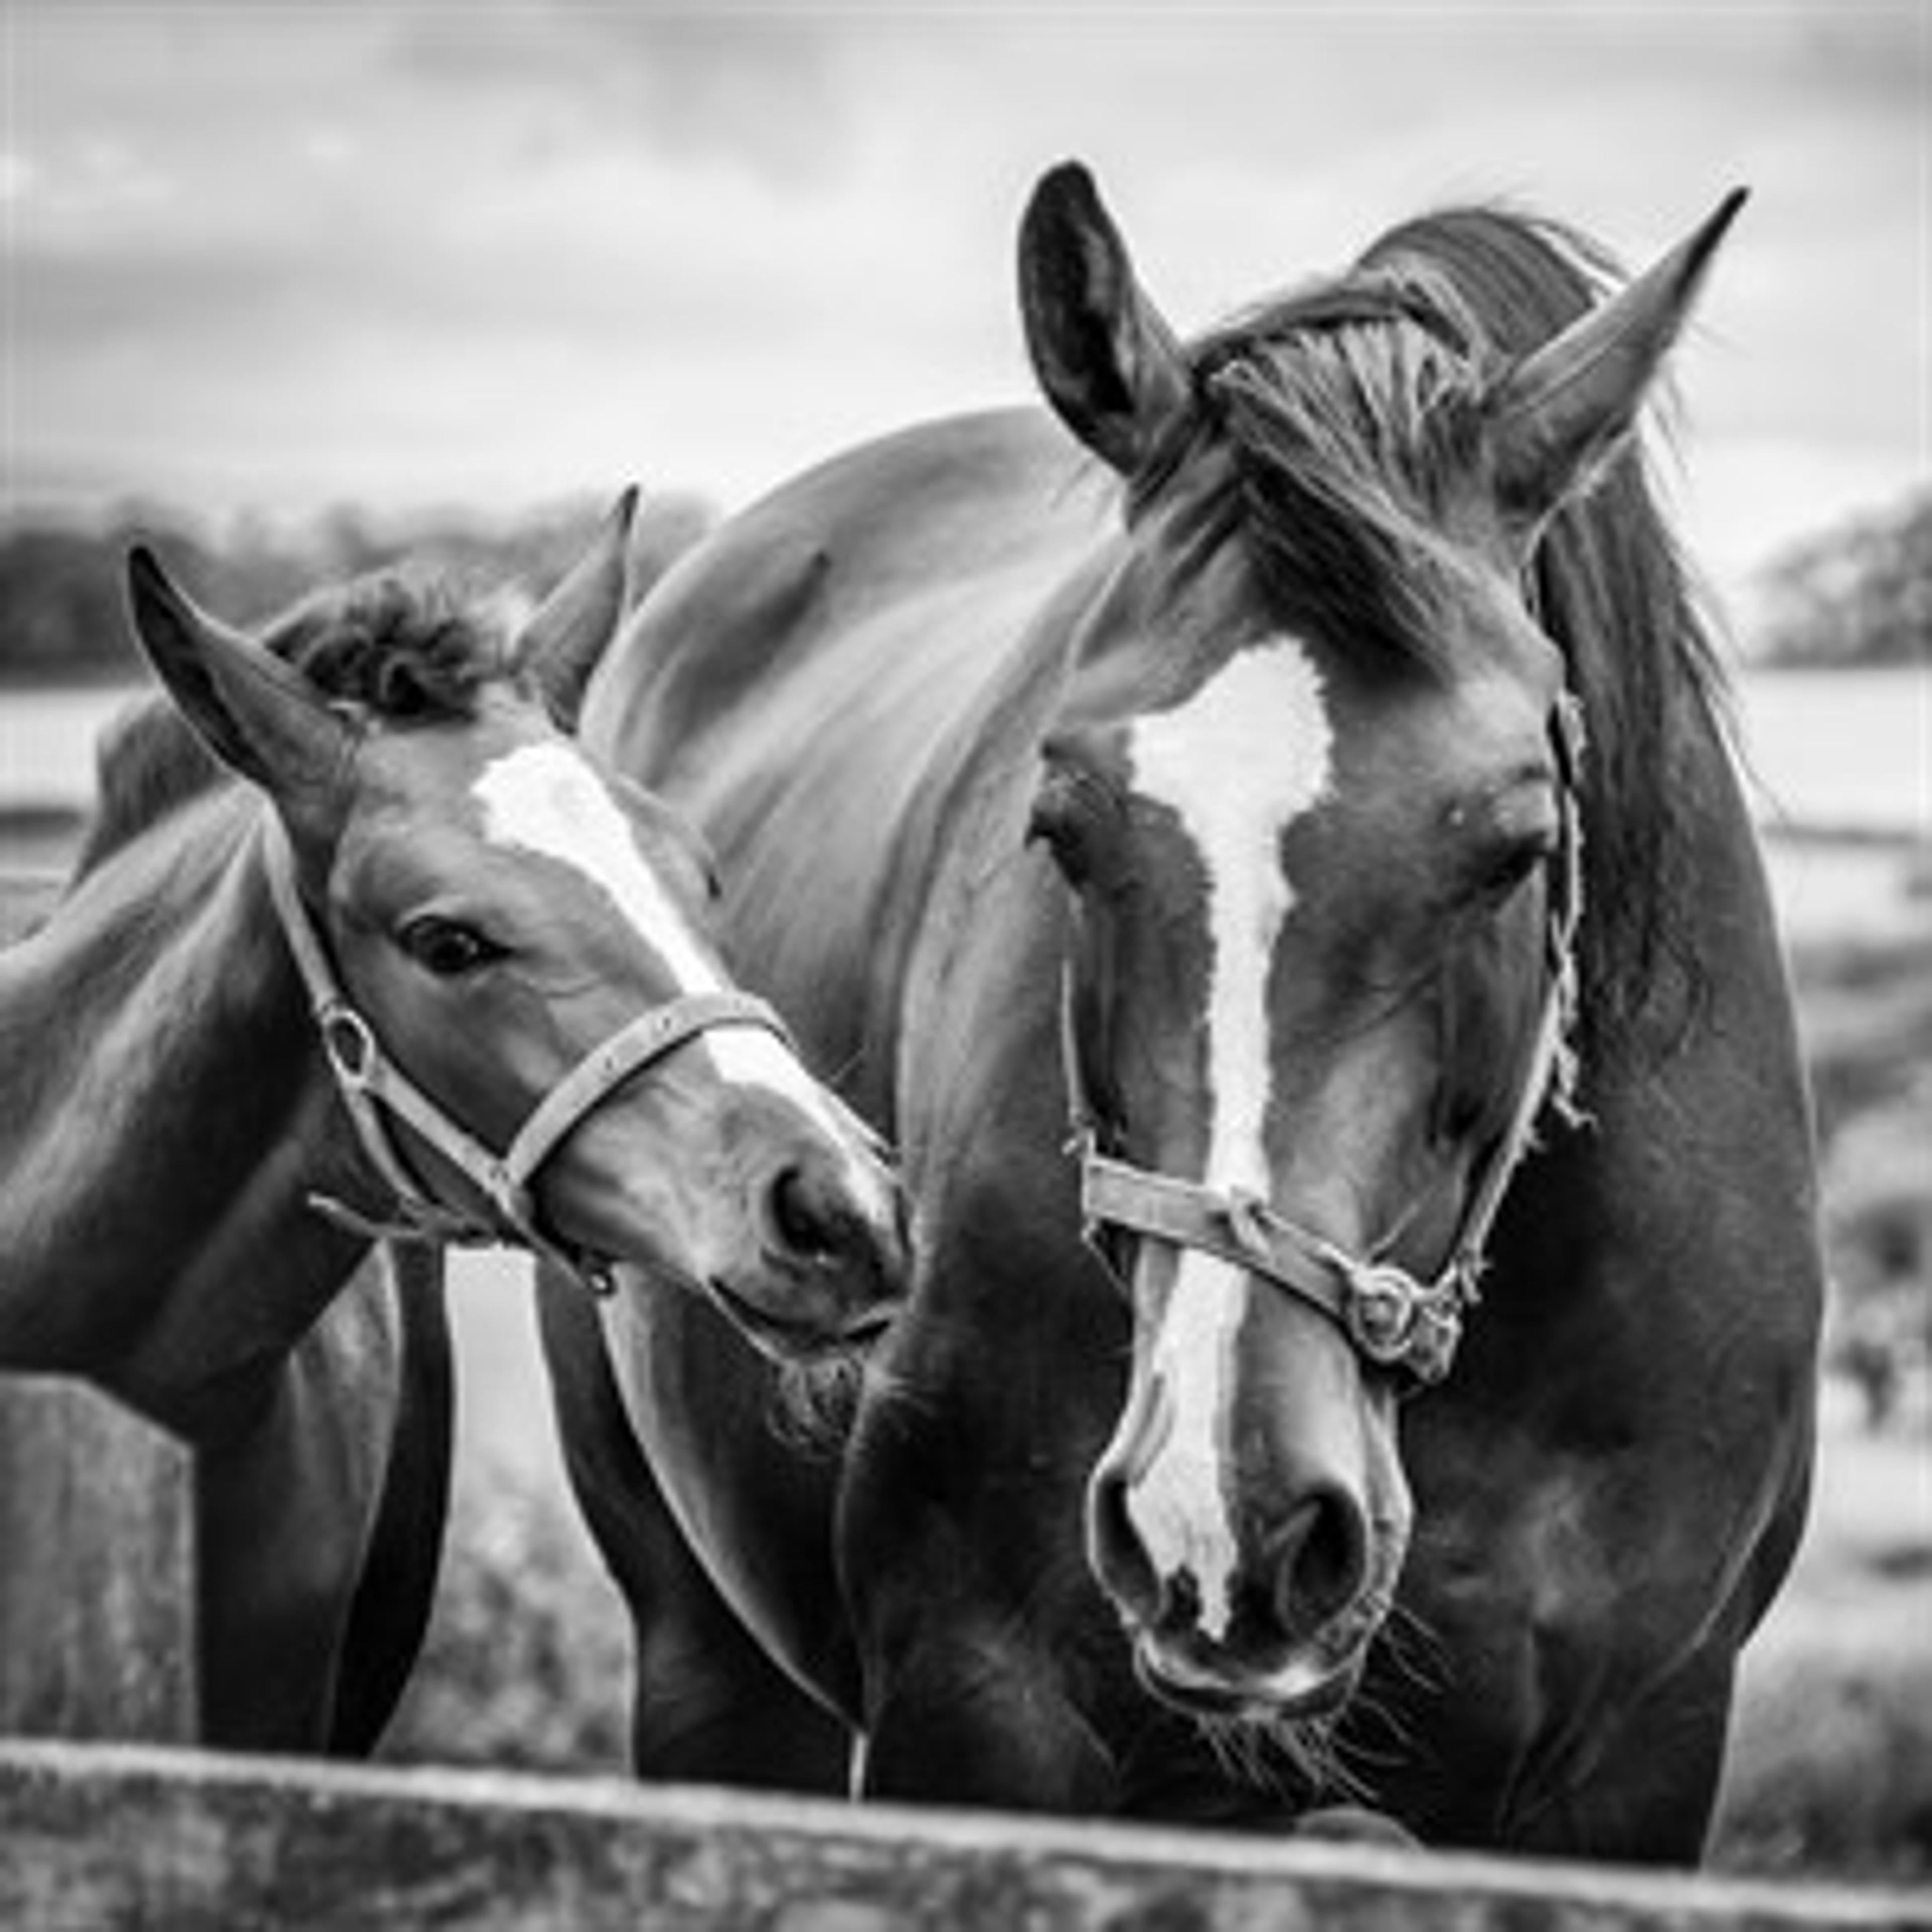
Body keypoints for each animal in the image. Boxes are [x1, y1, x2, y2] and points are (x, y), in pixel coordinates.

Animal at [543, 165, 1823, 1859]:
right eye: (1061, 823)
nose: (1225, 1522)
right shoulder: (984, 1717)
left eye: (1518, 840)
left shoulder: (1639, 1763)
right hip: (705, 1656)